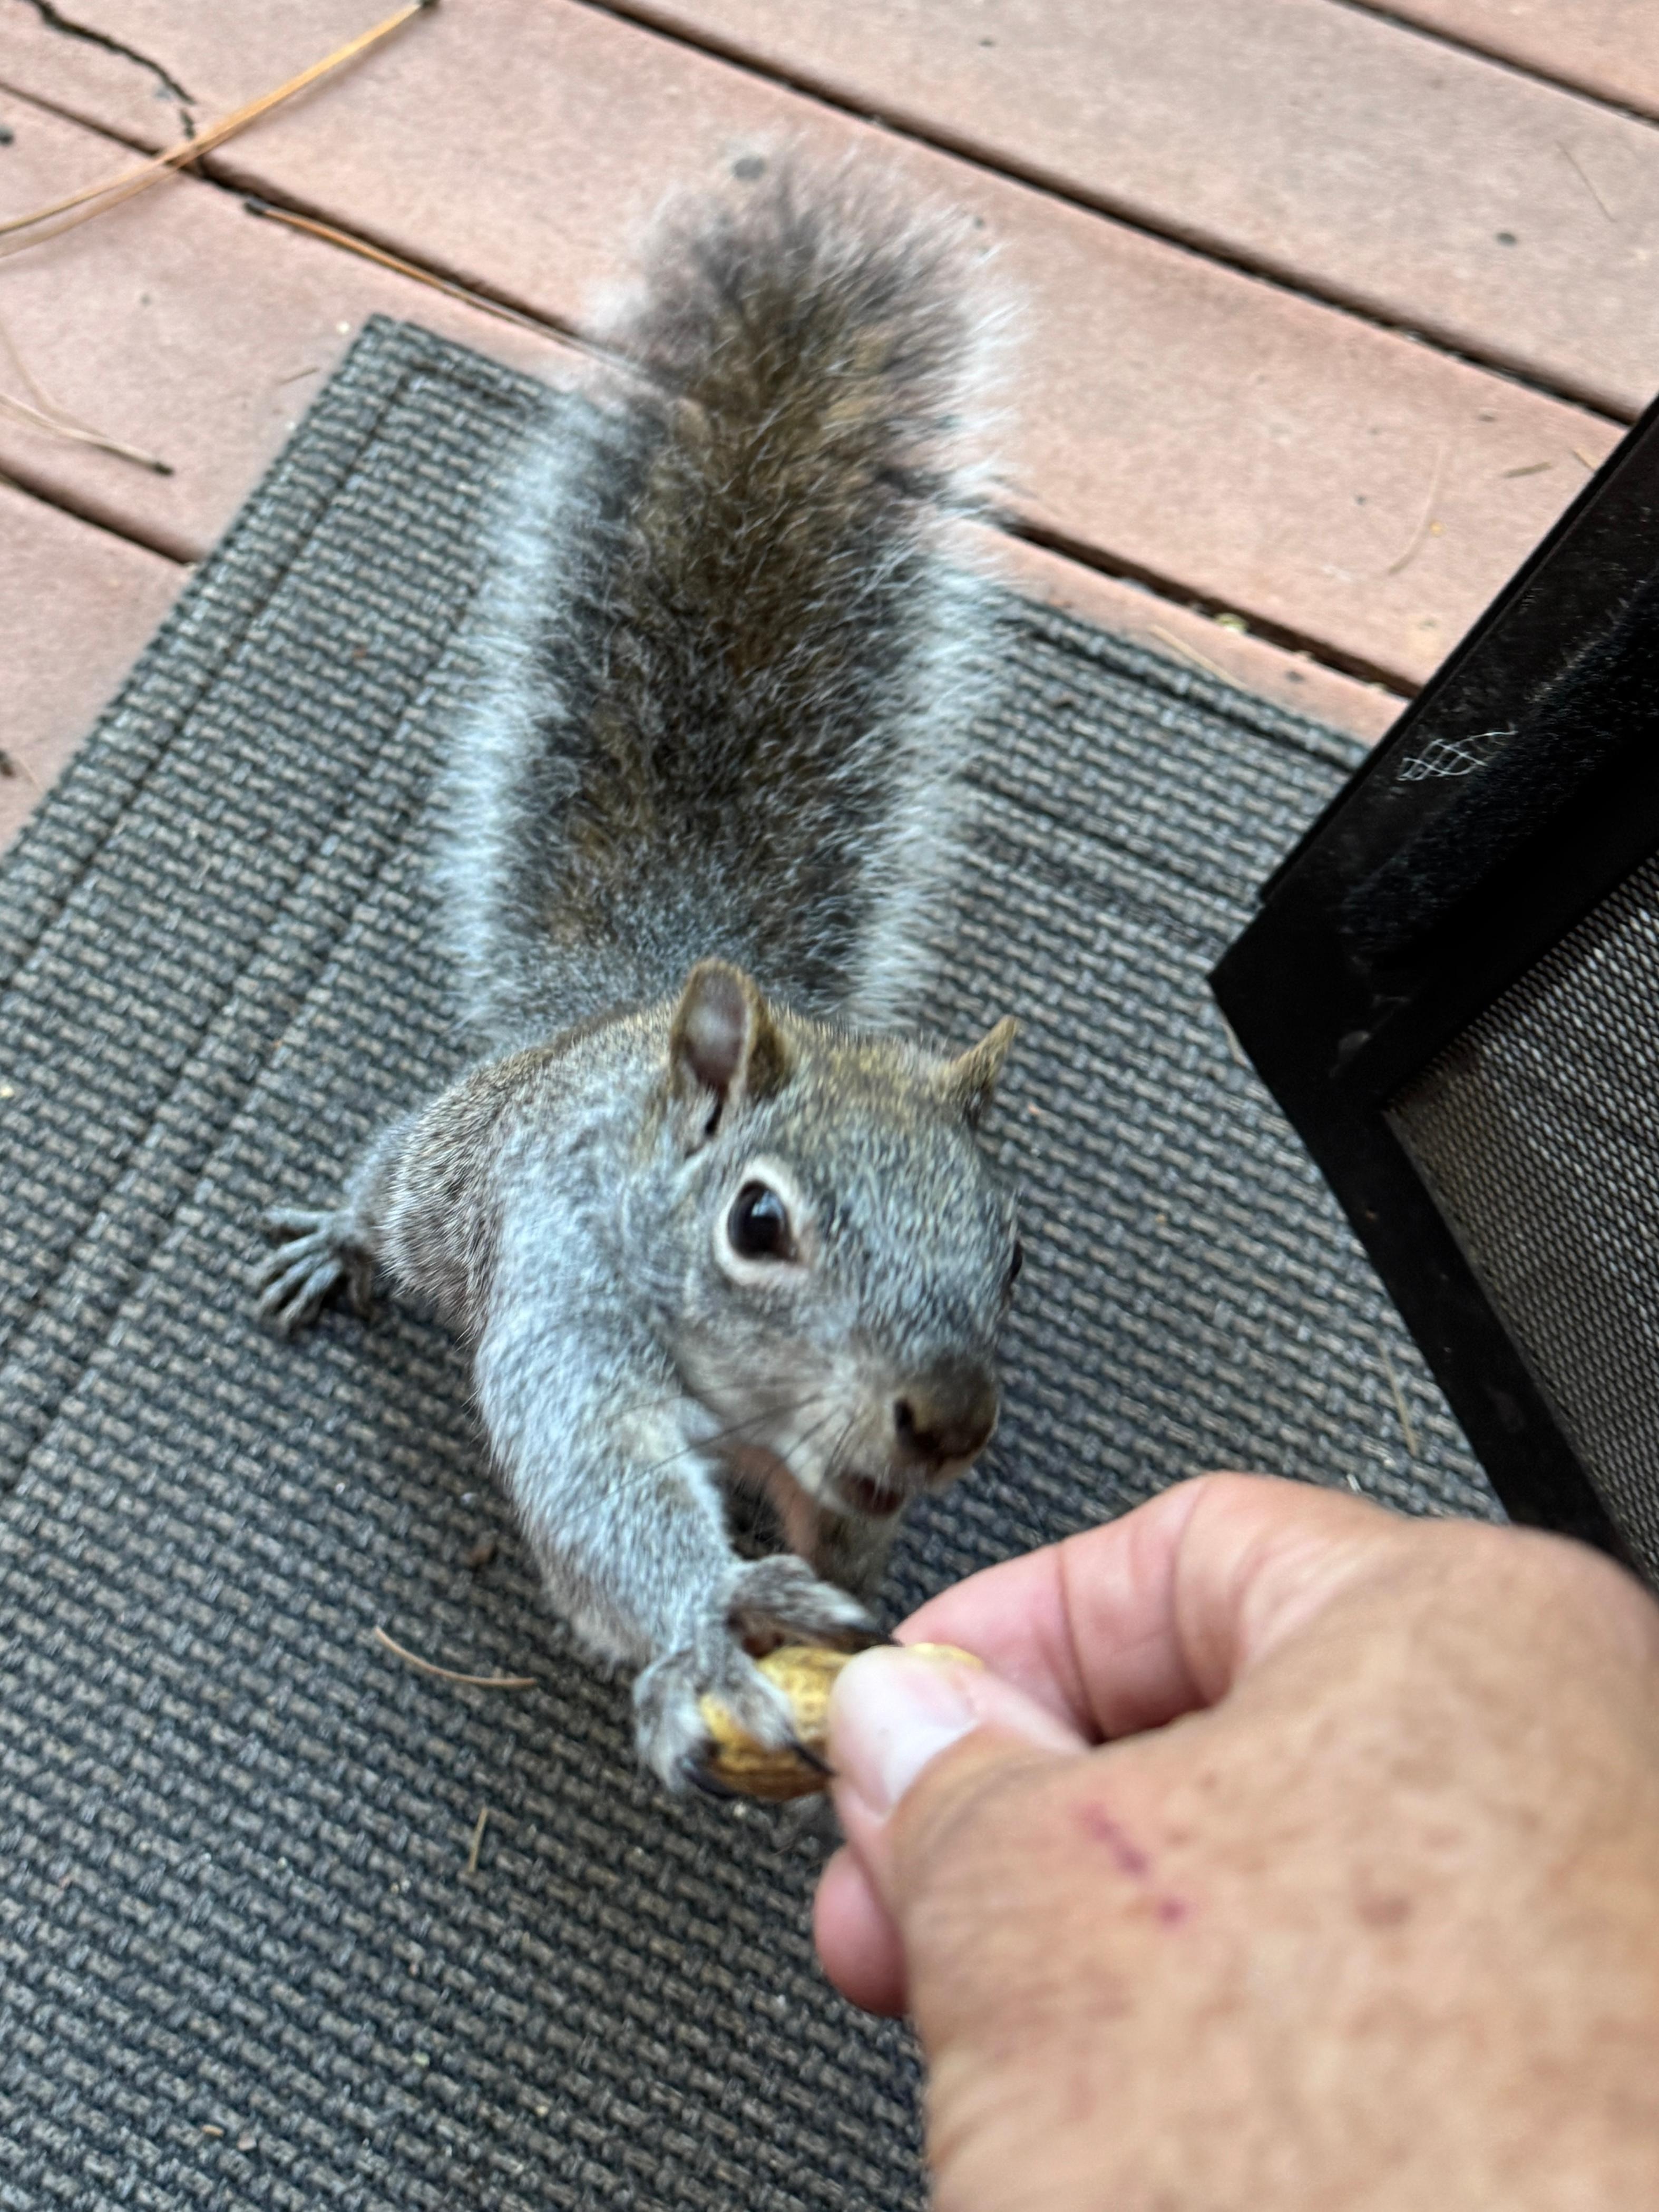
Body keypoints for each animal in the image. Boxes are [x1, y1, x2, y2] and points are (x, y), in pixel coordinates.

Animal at [256, 162, 1023, 1794]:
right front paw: (709, 1618)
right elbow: (589, 1470)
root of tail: (628, 1003)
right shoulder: (564, 1304)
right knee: (386, 1186)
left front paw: (852, 1572)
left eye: (1010, 1253)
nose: (945, 1417)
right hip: (448, 1173)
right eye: (757, 1222)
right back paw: (336, 1240)